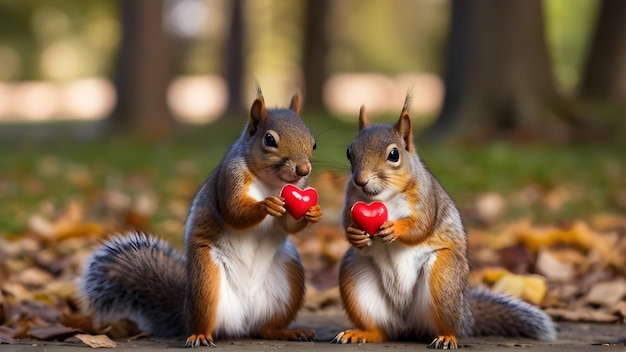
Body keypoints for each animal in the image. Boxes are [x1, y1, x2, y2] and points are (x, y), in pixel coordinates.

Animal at [78, 89, 320, 348]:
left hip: (290, 279)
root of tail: (242, 320)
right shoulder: (230, 178)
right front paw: (266, 204)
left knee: (265, 329)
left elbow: (289, 225)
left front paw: (313, 212)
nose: (303, 170)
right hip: (206, 280)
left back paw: (287, 332)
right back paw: (200, 335)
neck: (271, 184)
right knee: (204, 319)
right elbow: (234, 212)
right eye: (269, 140)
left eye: (313, 142)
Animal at [332, 95, 556, 348]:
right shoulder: (351, 198)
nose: (360, 180)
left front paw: (394, 228)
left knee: (449, 324)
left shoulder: (427, 198)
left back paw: (447, 337)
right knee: (381, 331)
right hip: (355, 276)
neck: (381, 197)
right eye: (349, 152)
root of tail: (408, 323)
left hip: (444, 277)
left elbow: (421, 226)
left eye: (394, 155)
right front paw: (355, 234)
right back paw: (362, 333)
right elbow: (346, 222)